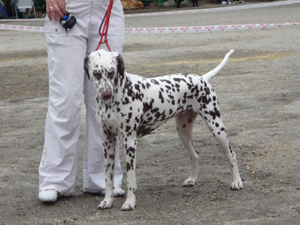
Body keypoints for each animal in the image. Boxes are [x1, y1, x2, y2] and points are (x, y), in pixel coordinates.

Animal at [83, 48, 243, 211]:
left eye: (111, 72)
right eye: (96, 73)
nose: (106, 94)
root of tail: (201, 78)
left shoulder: (130, 142)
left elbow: (131, 179)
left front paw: (130, 202)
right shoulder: (107, 142)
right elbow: (108, 179)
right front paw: (107, 200)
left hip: (216, 127)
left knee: (232, 154)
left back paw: (237, 182)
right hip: (183, 132)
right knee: (195, 154)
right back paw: (192, 179)